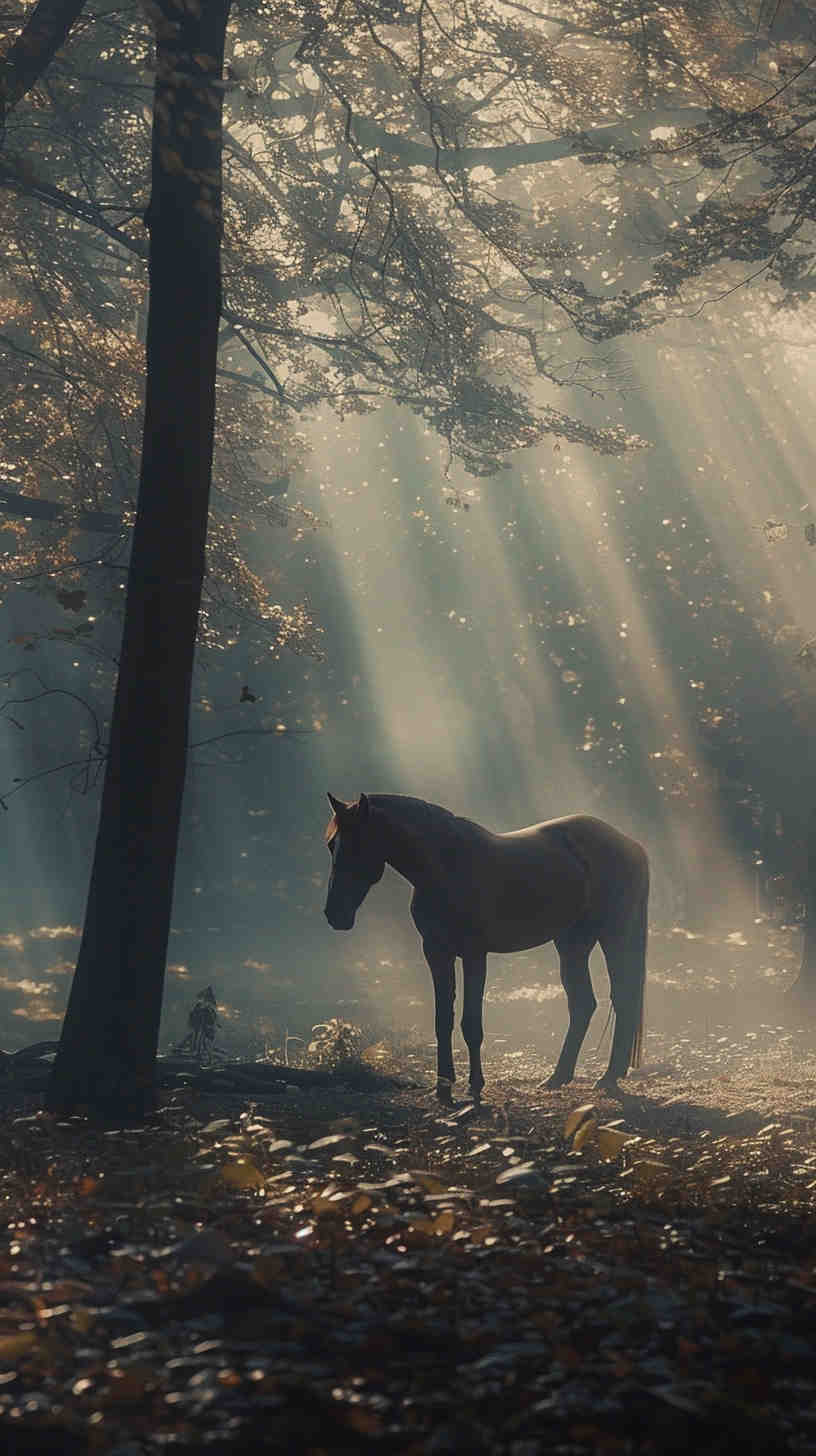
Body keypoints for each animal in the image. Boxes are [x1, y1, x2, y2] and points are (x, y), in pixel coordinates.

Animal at [323, 792, 649, 1103]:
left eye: (358, 845)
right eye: (331, 846)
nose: (334, 915)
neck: (444, 866)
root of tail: (630, 844)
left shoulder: (474, 955)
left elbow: (471, 1024)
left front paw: (475, 1085)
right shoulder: (436, 953)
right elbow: (443, 1021)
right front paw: (443, 1087)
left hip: (613, 937)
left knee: (622, 998)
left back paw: (607, 1077)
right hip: (572, 944)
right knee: (583, 1004)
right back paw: (558, 1077)